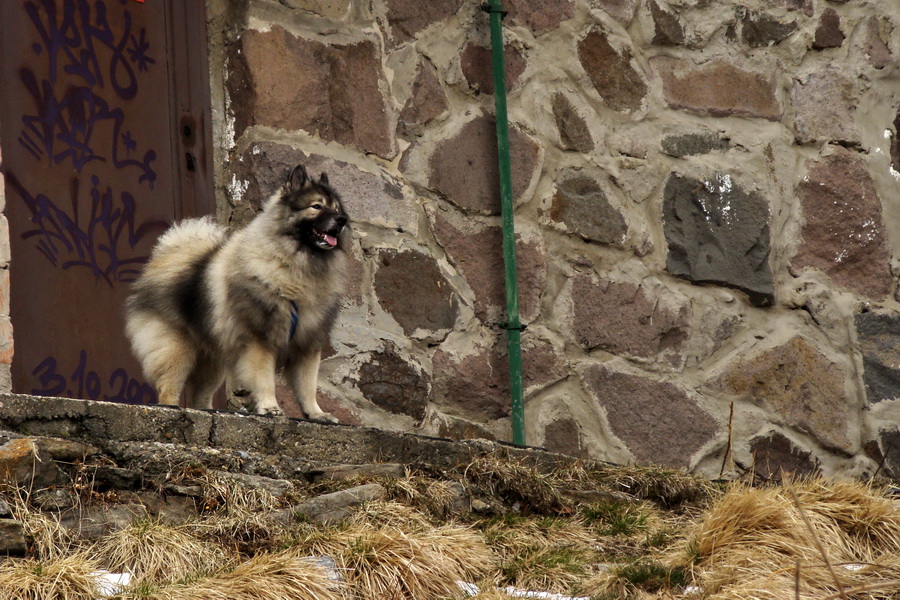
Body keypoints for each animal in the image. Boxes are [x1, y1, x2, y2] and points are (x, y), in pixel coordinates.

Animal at [125, 162, 350, 420]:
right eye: (316, 206)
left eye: (336, 209)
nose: (342, 220)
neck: (295, 264)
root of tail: (166, 257)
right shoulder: (261, 340)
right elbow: (265, 379)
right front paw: (270, 408)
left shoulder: (308, 344)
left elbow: (308, 386)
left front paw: (317, 414)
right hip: (177, 347)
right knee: (168, 384)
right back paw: (170, 407)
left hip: (213, 359)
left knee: (201, 393)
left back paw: (209, 411)